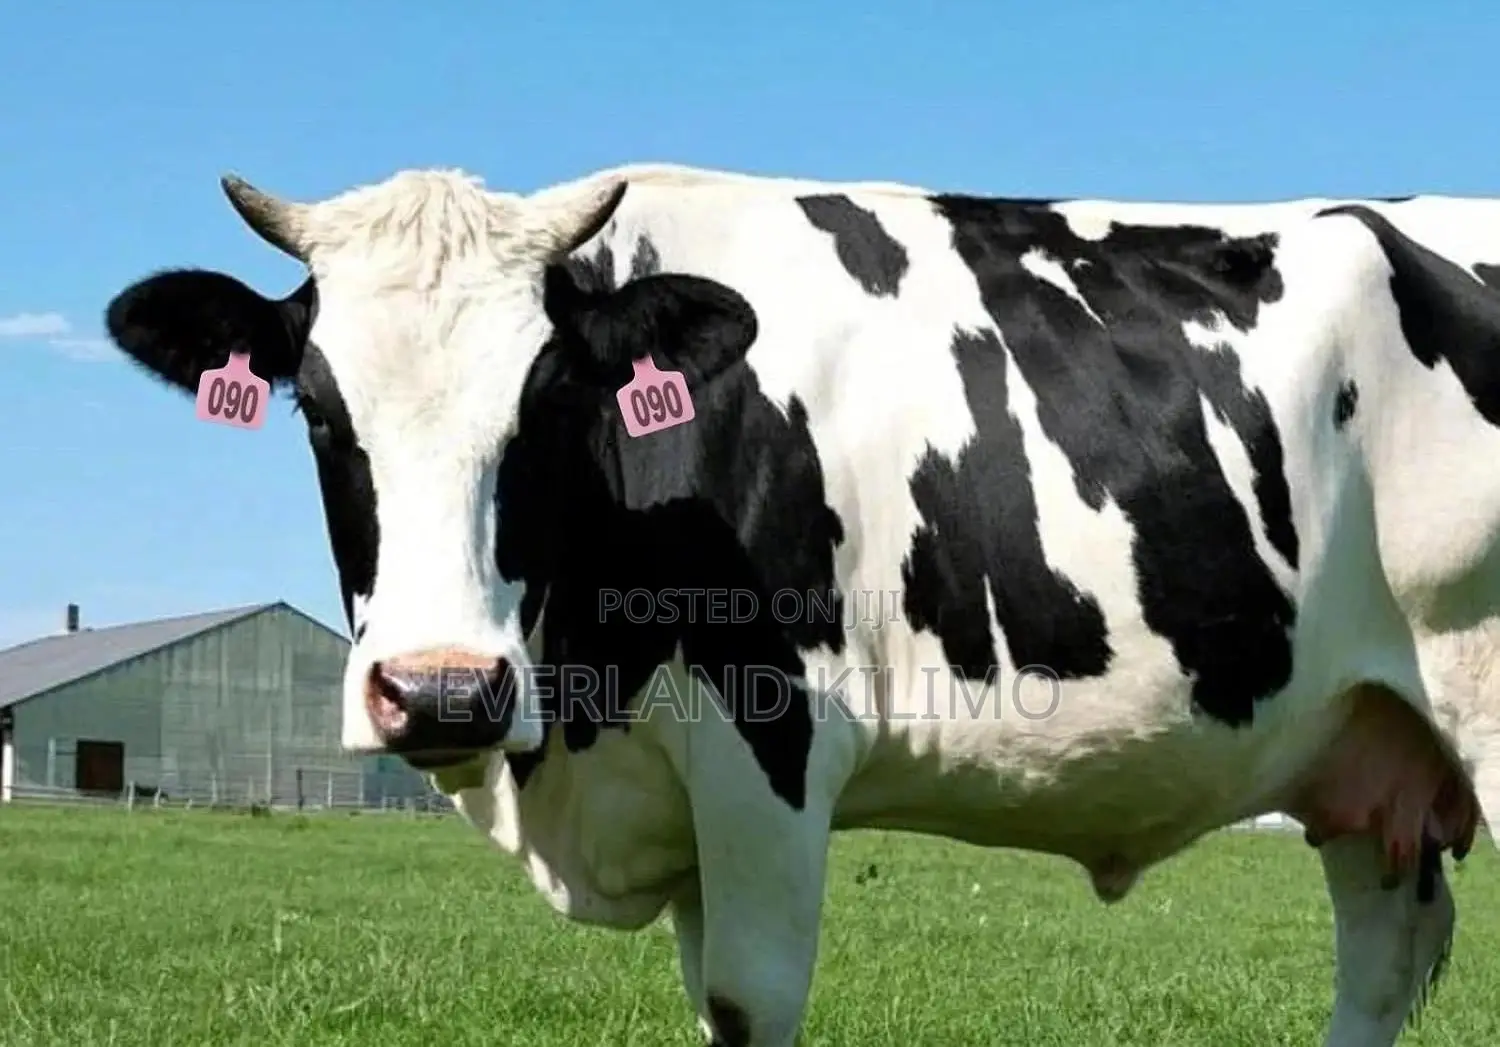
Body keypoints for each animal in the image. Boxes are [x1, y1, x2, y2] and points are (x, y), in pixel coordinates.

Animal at [102, 160, 1500, 1047]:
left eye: (546, 405)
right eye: (316, 407)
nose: (442, 689)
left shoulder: (766, 740)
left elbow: (748, 999)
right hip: (1369, 746)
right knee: (1383, 961)